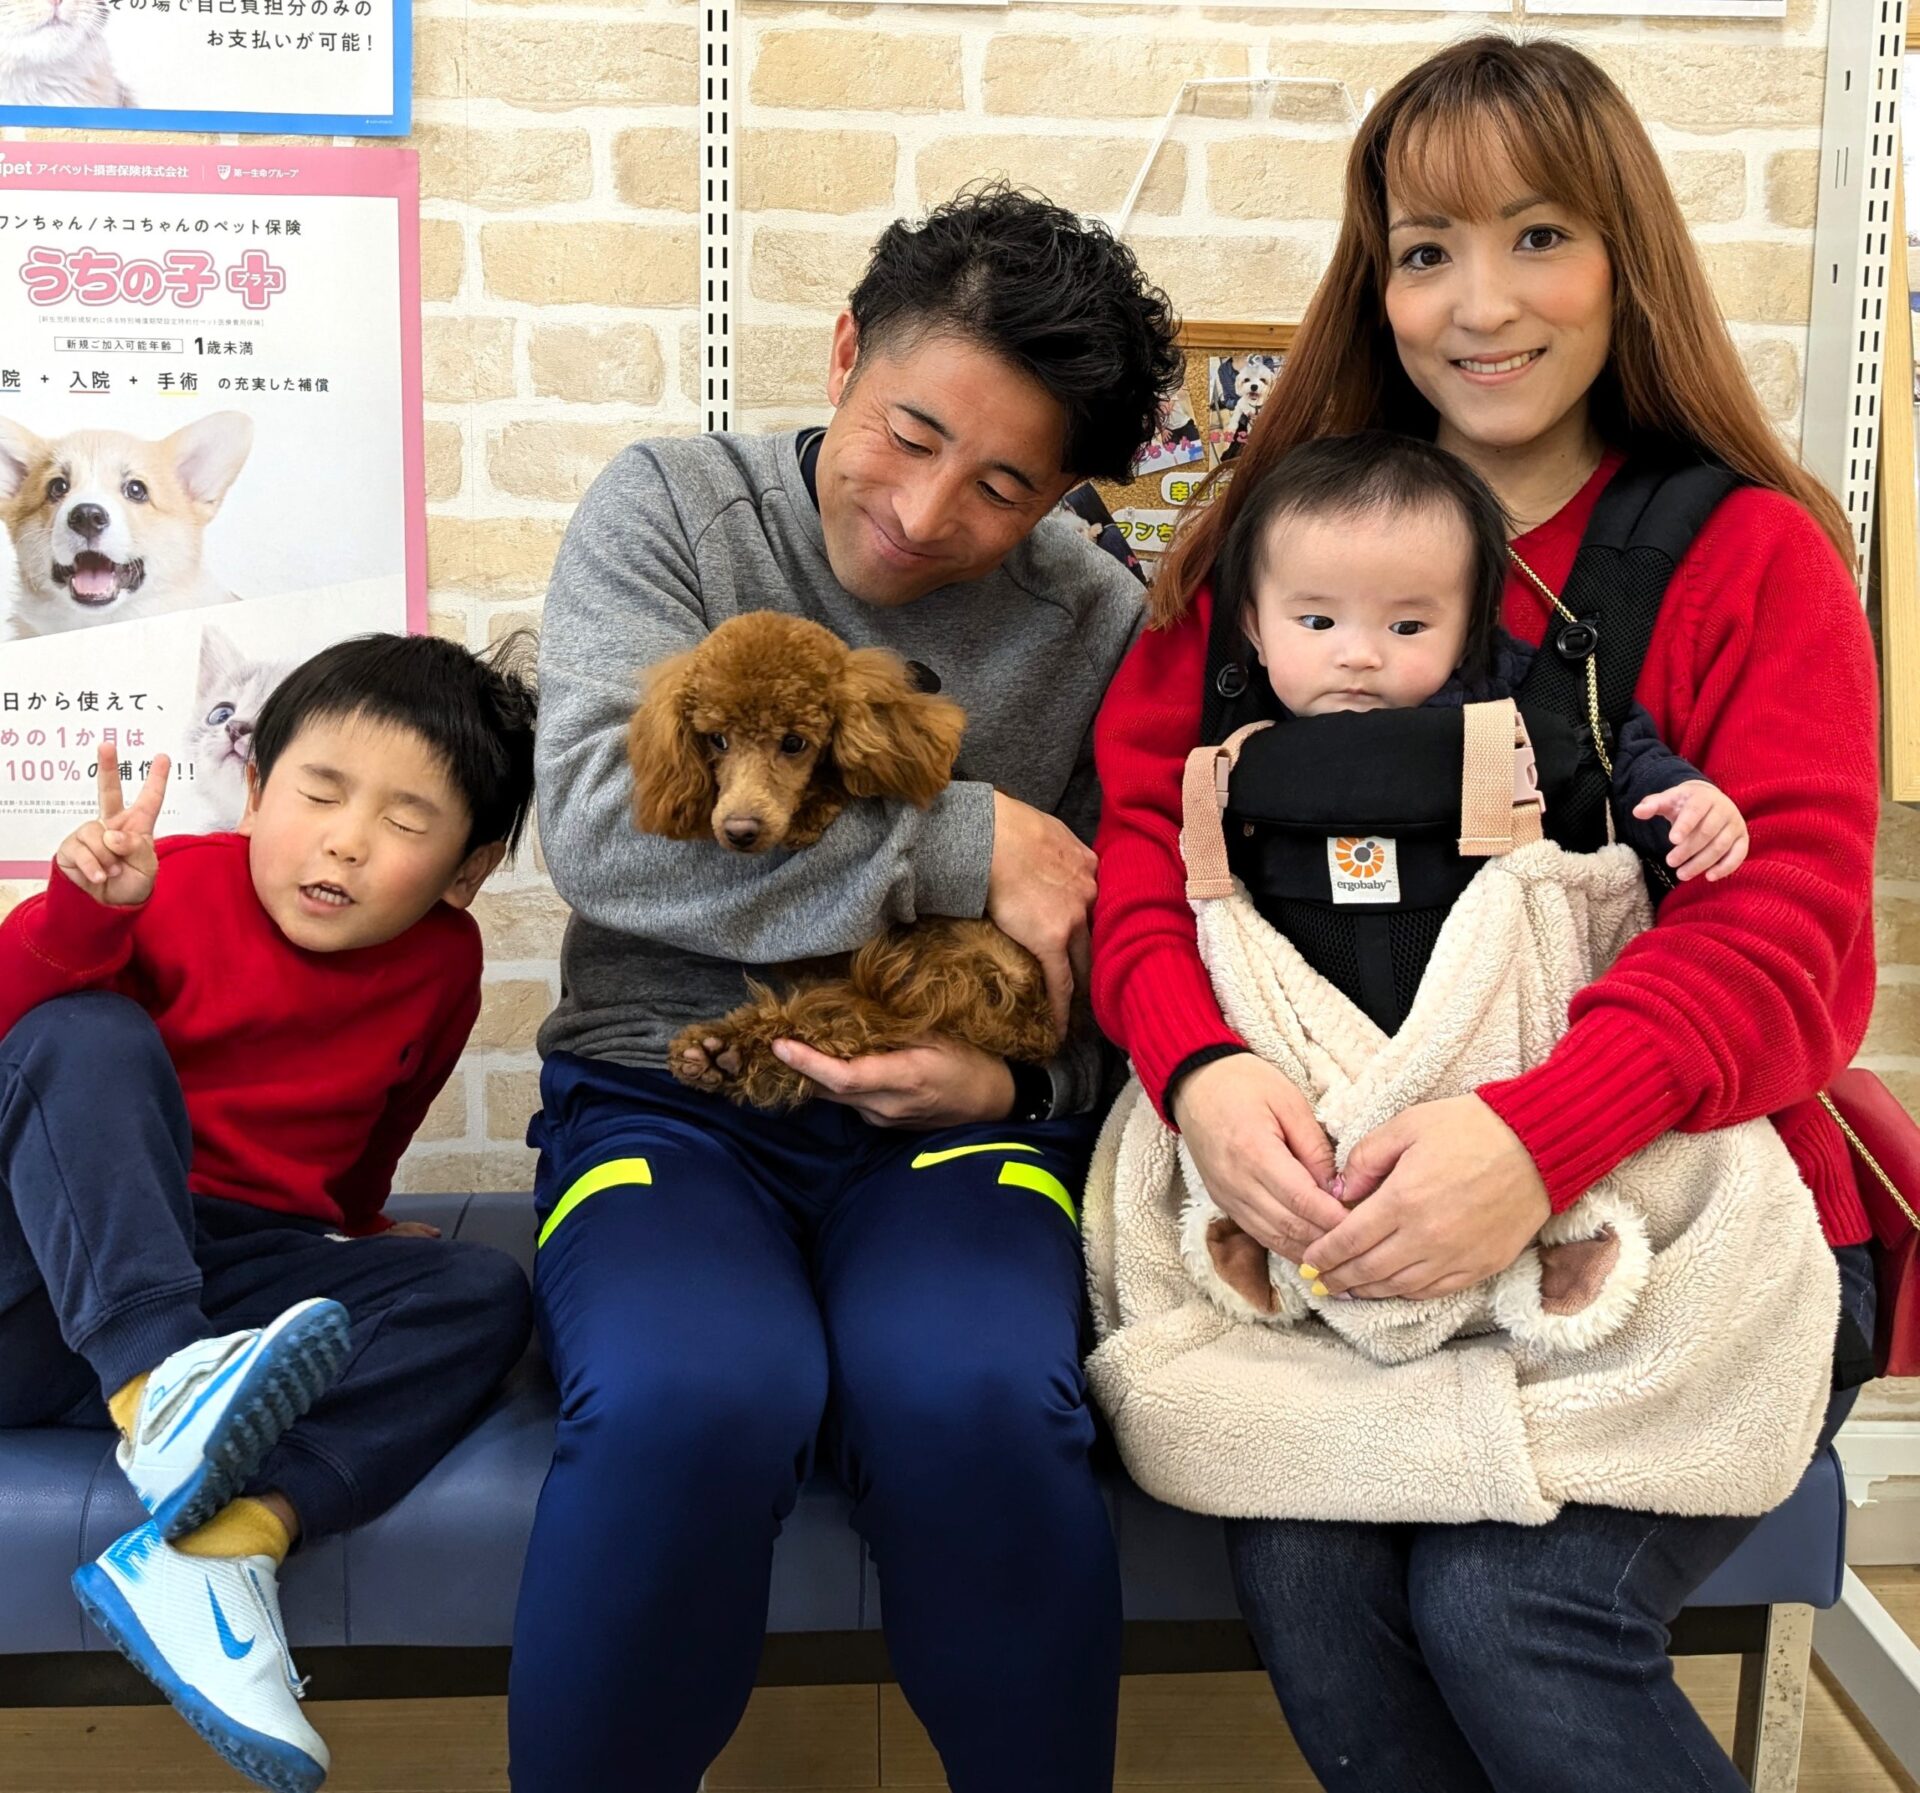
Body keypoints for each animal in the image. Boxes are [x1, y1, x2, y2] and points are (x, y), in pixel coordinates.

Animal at [627, 611, 1059, 1110]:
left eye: (794, 743)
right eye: (717, 740)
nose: (740, 831)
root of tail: (1040, 1029)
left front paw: (812, 810)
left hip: (930, 977)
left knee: (833, 1027)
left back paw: (726, 1053)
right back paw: (721, 1054)